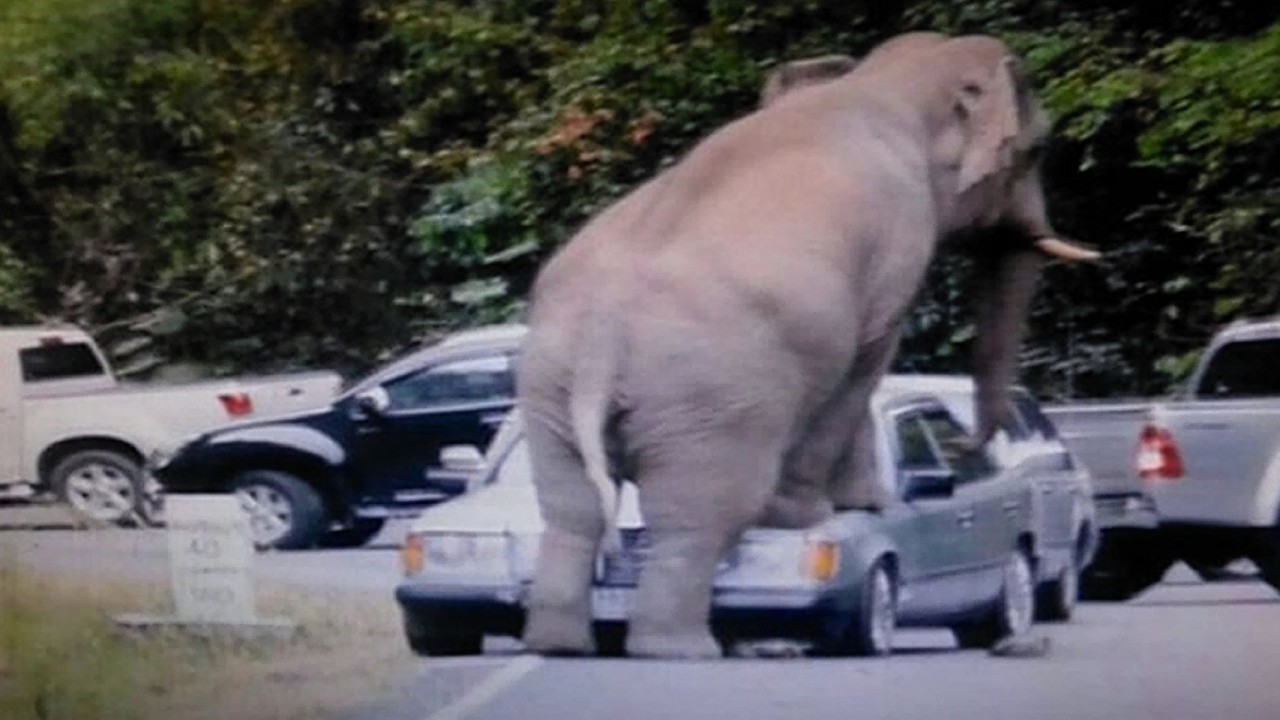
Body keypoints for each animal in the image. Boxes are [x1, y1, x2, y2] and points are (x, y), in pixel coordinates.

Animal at [514, 35, 1095, 661]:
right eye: (1035, 150)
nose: (961, 444)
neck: (878, 82)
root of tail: (603, 335)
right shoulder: (897, 245)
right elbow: (866, 364)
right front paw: (833, 509)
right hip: (712, 403)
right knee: (696, 515)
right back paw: (684, 649)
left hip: (549, 383)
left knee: (570, 510)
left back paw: (558, 646)